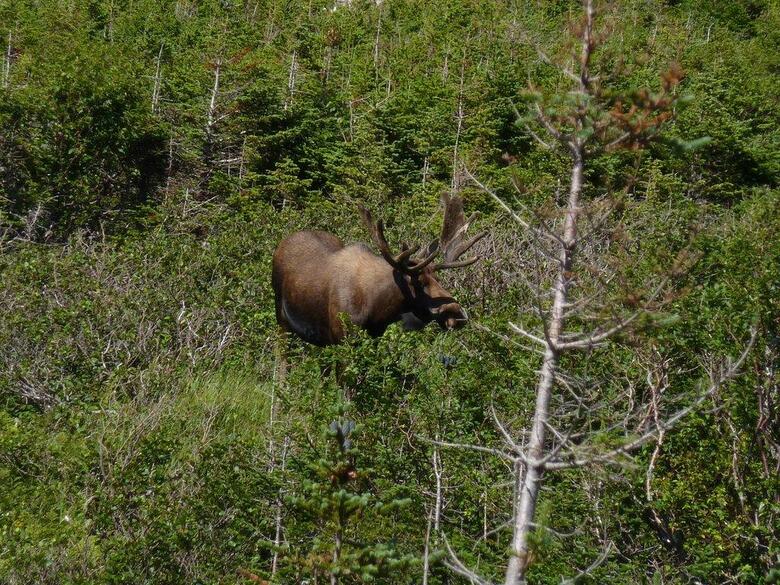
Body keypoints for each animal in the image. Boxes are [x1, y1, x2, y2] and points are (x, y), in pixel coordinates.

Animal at [271, 195, 486, 346]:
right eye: (418, 282)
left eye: (438, 279)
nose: (458, 313)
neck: (377, 307)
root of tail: (283, 242)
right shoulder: (343, 339)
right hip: (281, 317)